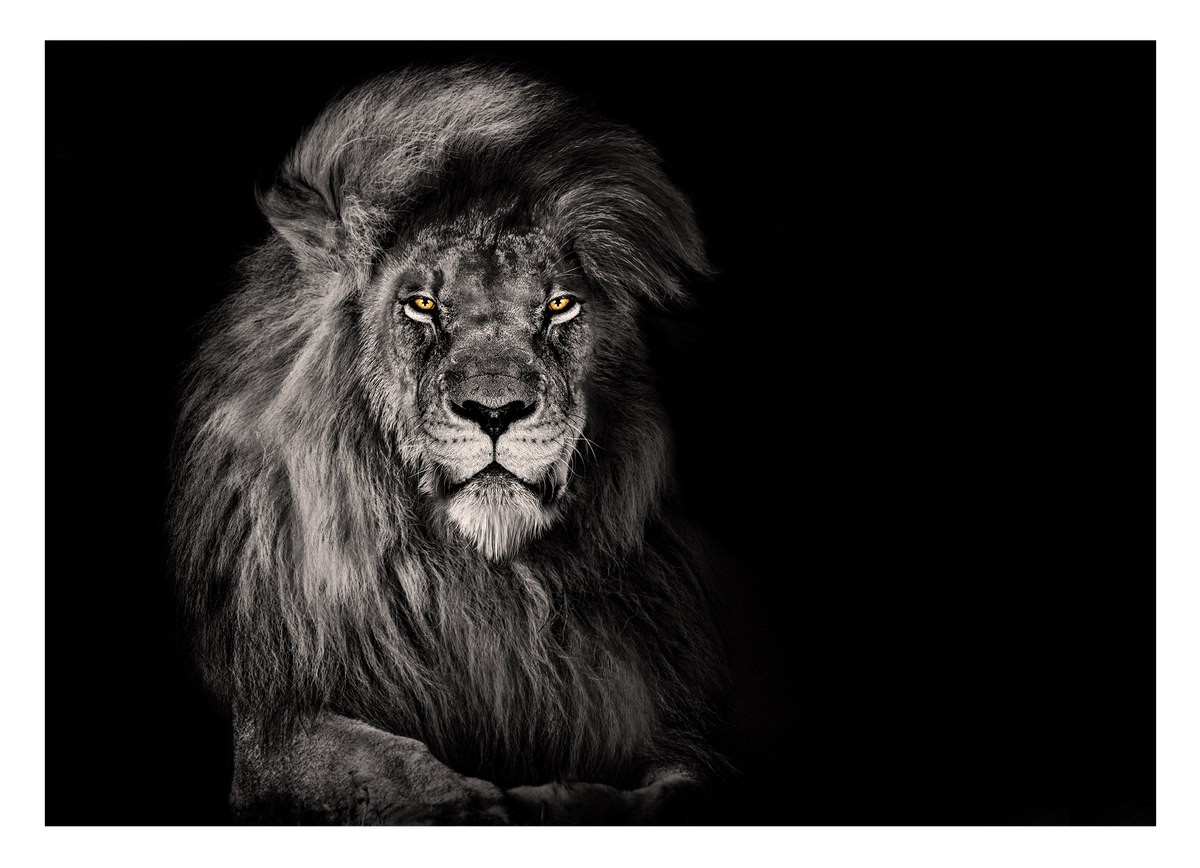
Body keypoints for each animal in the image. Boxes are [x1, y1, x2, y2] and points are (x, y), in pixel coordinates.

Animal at [169, 63, 734, 826]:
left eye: (559, 305)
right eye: (423, 304)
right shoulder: (275, 722)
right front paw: (474, 804)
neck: (486, 582)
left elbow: (675, 786)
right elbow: (384, 764)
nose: (495, 412)